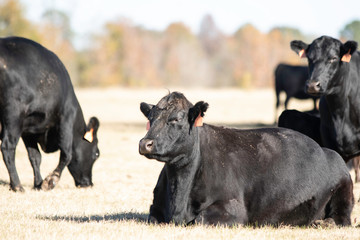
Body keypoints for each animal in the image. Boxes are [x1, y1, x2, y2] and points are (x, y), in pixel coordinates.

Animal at [0, 37, 100, 191]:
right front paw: (50, 180)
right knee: (7, 146)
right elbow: (67, 153)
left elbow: (35, 157)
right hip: (13, 115)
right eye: (96, 153)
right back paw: (17, 186)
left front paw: (38, 183)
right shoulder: (66, 118)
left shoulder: (28, 130)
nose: (88, 184)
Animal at [139, 92, 354, 227]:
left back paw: (324, 223)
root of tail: (325, 150)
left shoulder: (234, 209)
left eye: (176, 119)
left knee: (343, 218)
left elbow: (200, 220)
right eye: (150, 118)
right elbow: (152, 217)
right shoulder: (155, 209)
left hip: (344, 189)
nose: (145, 143)